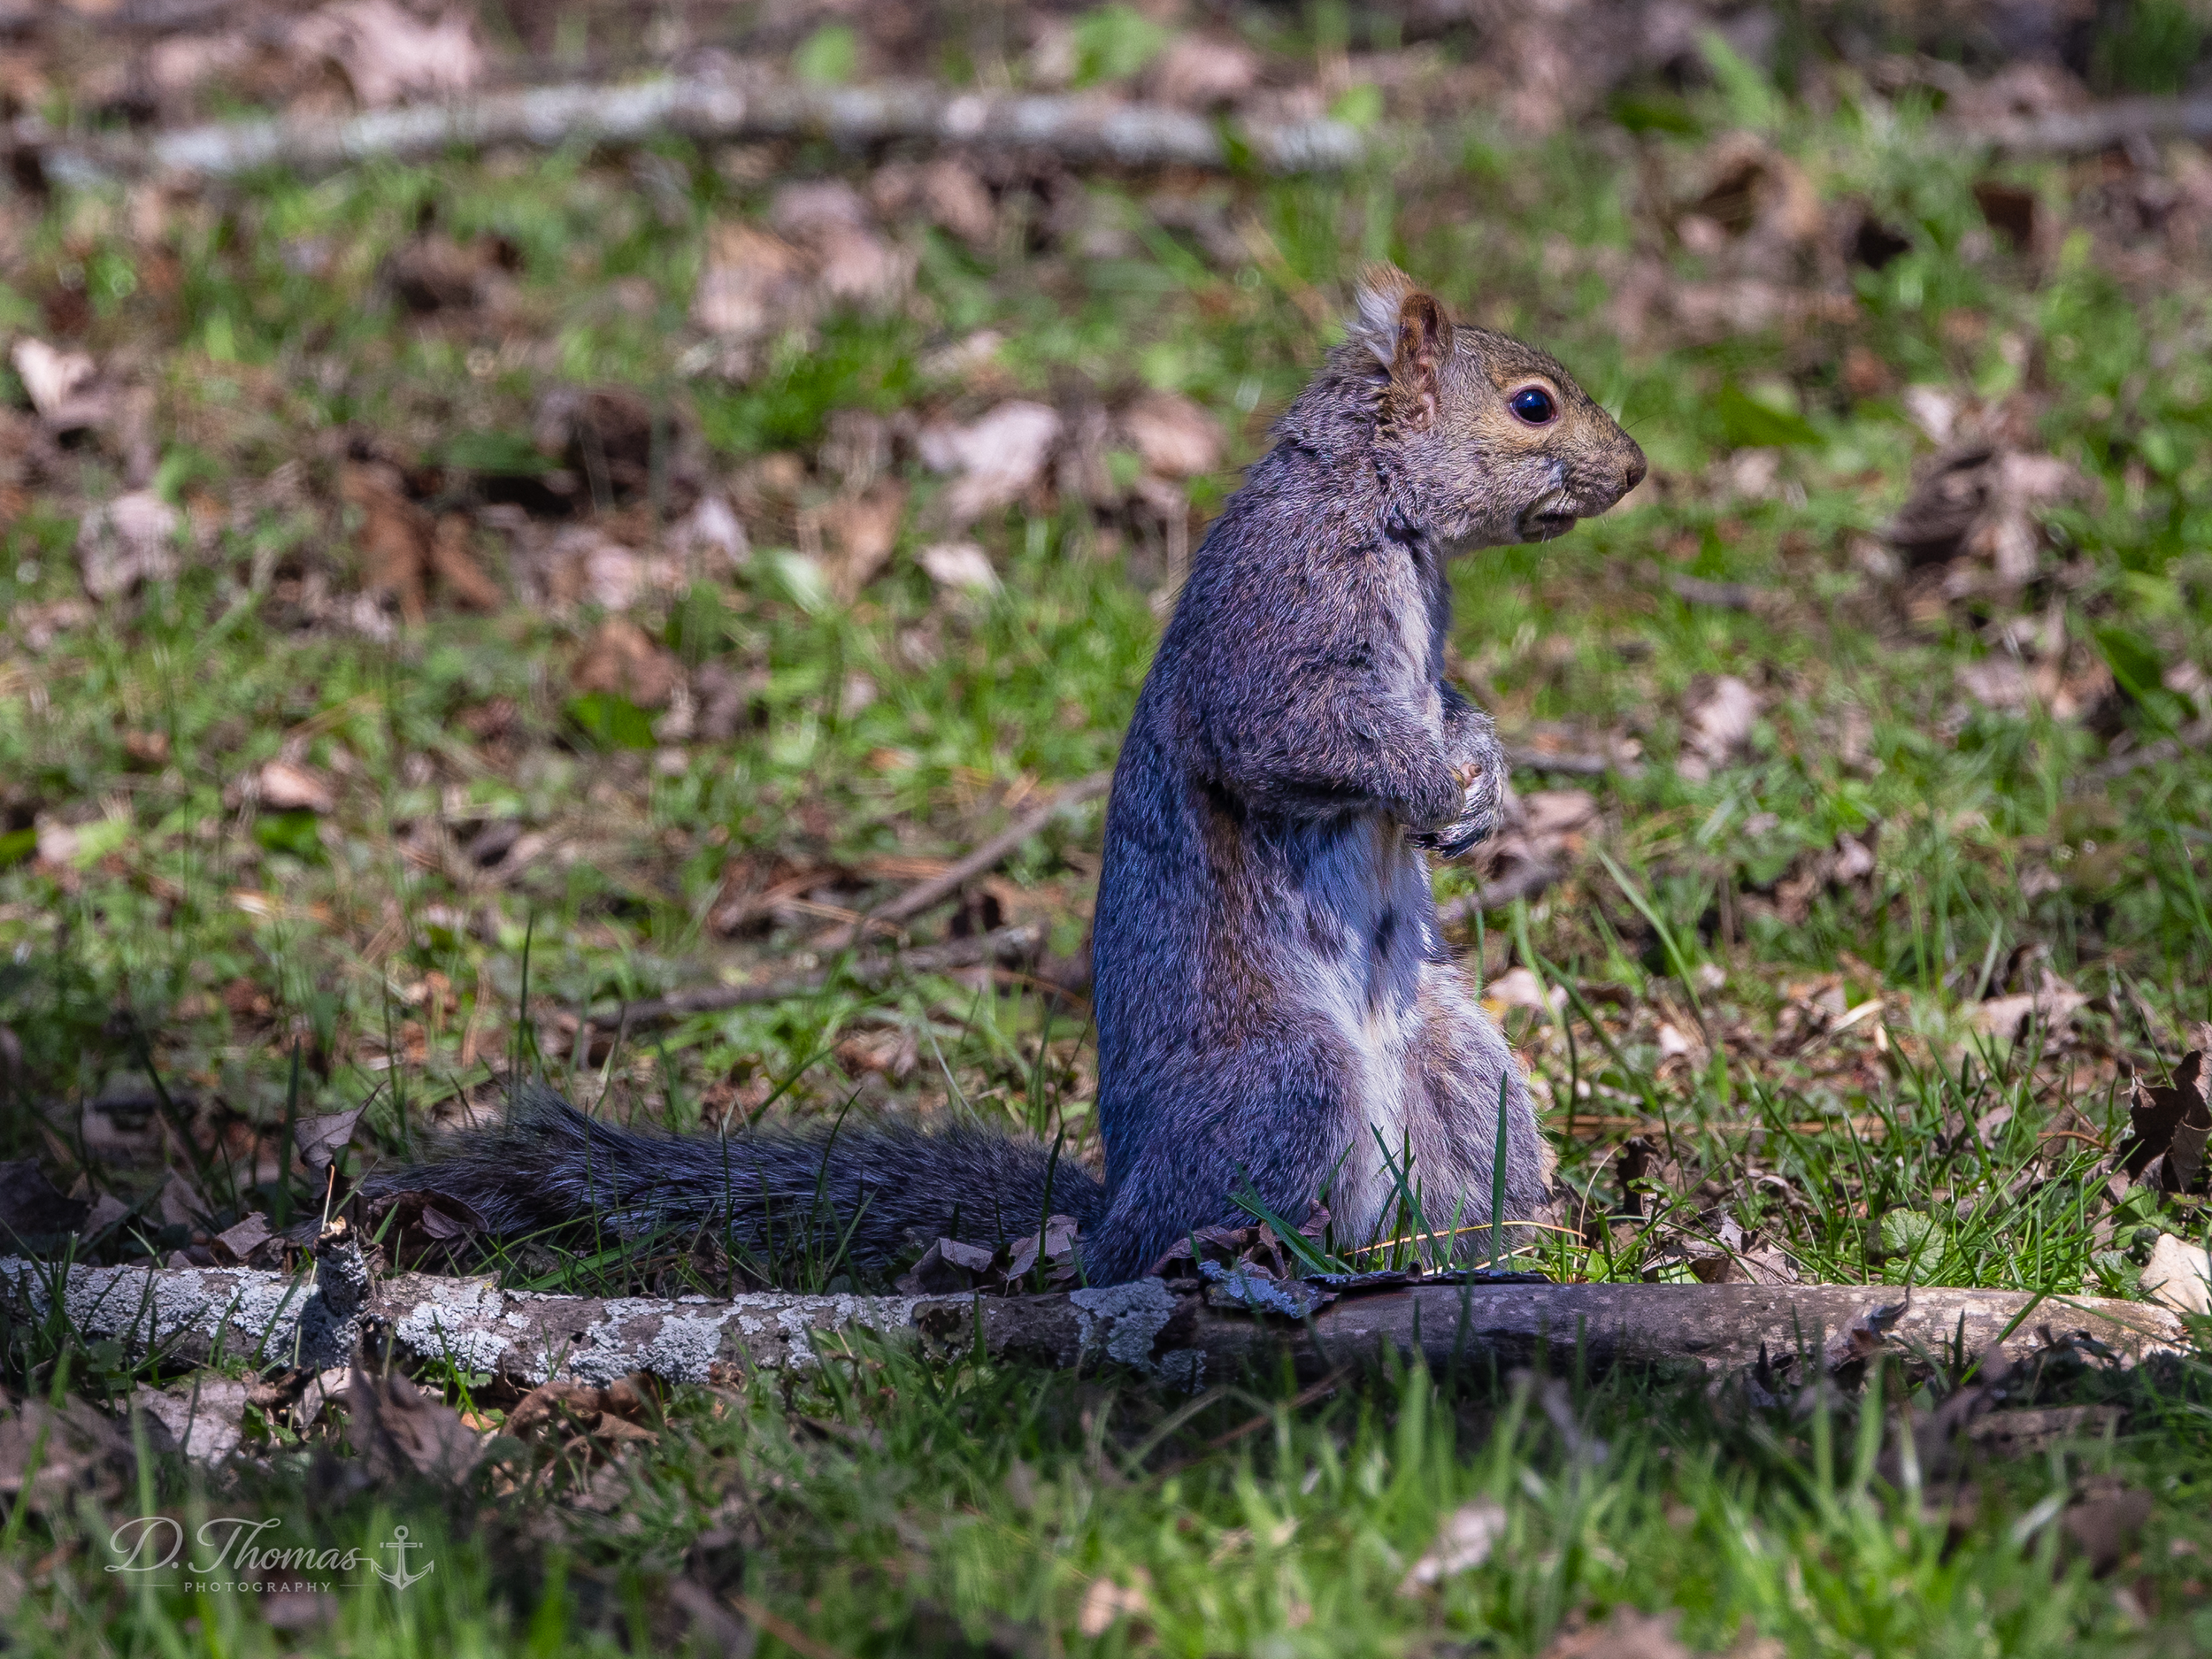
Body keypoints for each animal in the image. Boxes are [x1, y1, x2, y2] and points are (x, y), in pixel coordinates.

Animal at [371, 266, 1646, 1287]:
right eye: (1531, 402)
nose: (1634, 470)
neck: (1382, 505)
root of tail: (1114, 1218)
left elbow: (1449, 704)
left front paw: (1487, 775)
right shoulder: (1283, 613)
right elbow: (1300, 731)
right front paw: (1439, 785)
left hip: (1458, 1073)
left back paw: (1490, 1260)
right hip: (1290, 1086)